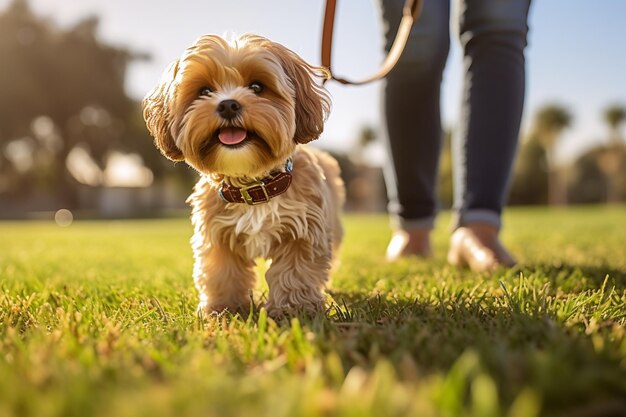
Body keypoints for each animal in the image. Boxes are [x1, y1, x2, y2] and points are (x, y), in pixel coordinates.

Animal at [142, 34, 344, 316]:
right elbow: (222, 273)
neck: (254, 187)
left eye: (257, 86)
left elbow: (294, 273)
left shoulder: (303, 231)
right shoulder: (216, 235)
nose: (228, 104)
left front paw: (293, 310)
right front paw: (223, 309)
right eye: (205, 91)